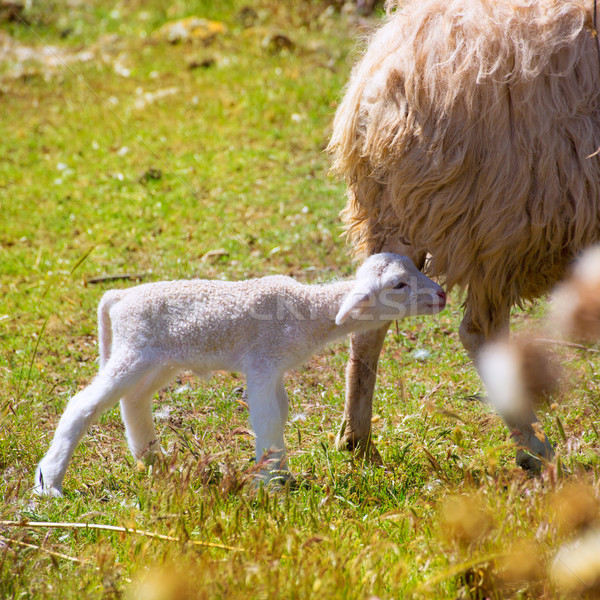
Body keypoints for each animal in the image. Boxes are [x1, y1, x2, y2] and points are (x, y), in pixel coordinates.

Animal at [32, 253, 446, 496]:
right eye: (398, 284)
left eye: (418, 268)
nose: (442, 295)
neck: (307, 312)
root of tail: (117, 297)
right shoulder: (262, 364)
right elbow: (266, 420)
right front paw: (271, 486)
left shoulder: (275, 368)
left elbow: (280, 413)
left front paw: (280, 474)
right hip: (134, 351)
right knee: (82, 404)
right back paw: (49, 483)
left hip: (159, 359)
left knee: (134, 399)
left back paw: (154, 459)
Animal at [326, 0, 600, 468]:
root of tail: (388, 75)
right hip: (503, 221)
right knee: (479, 332)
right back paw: (534, 448)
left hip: (398, 213)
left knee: (368, 324)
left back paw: (357, 442)